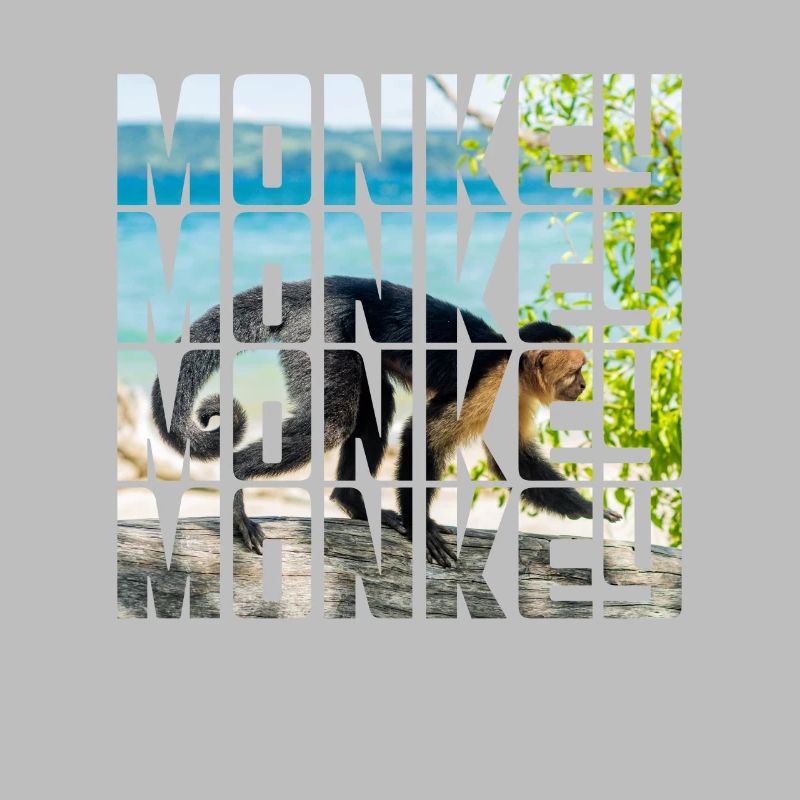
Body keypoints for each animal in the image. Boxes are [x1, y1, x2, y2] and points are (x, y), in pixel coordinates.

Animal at [151, 276, 621, 568]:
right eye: (577, 371)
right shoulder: (490, 383)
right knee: (335, 420)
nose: (584, 386)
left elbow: (514, 463)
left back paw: (352, 501)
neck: (513, 365)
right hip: (323, 335)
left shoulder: (516, 397)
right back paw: (238, 484)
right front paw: (420, 525)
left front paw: (587, 508)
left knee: (373, 407)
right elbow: (425, 435)